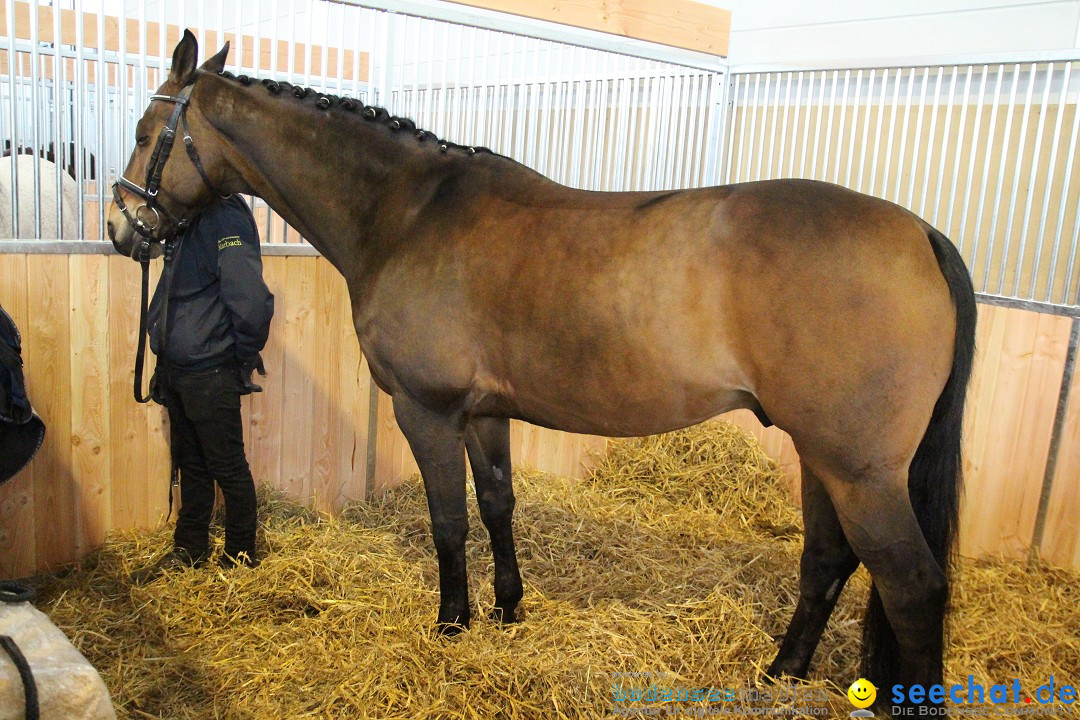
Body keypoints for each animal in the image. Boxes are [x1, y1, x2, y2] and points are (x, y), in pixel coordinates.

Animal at [109, 32, 980, 703]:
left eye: (151, 129)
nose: (123, 229)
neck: (407, 212)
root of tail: (922, 234)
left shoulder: (426, 408)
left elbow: (448, 519)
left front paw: (451, 623)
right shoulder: (485, 412)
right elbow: (498, 506)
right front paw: (507, 609)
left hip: (859, 470)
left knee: (913, 585)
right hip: (822, 456)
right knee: (830, 560)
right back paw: (781, 671)